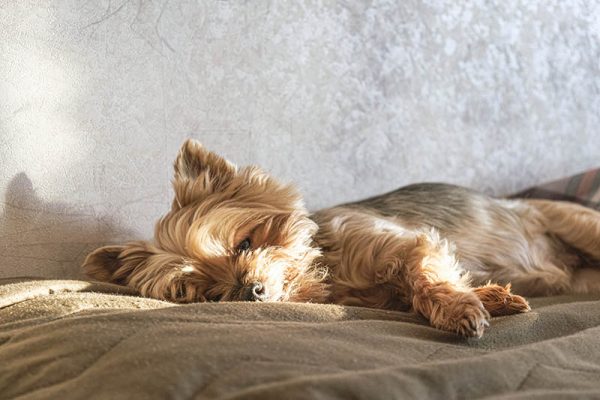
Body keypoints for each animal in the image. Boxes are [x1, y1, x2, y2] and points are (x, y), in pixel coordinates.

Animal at [82, 141, 600, 338]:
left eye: (244, 244)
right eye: (208, 293)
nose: (250, 291)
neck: (330, 269)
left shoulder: (407, 244)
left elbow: (426, 277)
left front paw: (460, 309)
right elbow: (421, 290)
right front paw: (492, 297)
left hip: (575, 224)